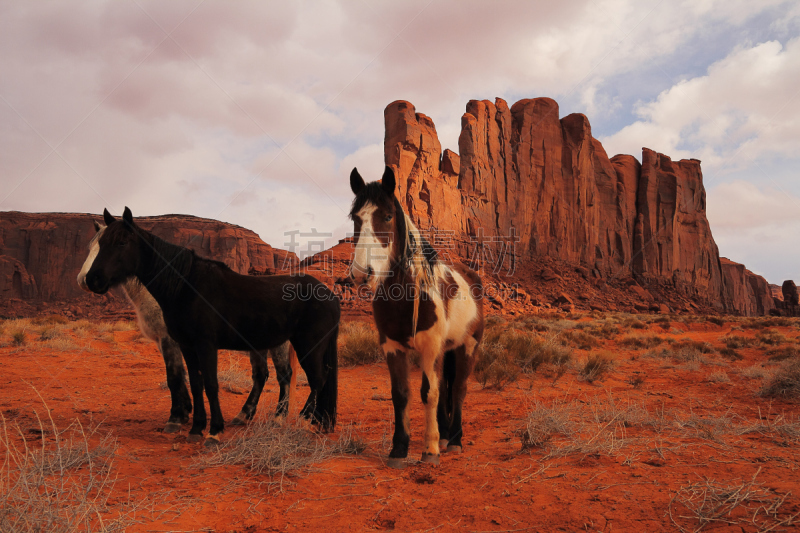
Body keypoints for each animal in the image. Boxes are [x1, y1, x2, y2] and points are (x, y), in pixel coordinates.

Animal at [85, 208, 340, 444]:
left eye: (122, 242)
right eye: (98, 243)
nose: (91, 279)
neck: (187, 286)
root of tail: (330, 295)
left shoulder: (205, 344)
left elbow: (210, 384)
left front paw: (214, 431)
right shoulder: (186, 345)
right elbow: (195, 383)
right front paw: (196, 428)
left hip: (308, 346)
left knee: (317, 379)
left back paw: (303, 419)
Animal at [348, 166, 484, 466]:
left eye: (388, 216)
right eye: (355, 218)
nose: (362, 273)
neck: (406, 294)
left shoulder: (430, 347)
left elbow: (429, 393)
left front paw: (429, 450)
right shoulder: (392, 347)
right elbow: (401, 394)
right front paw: (399, 449)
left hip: (468, 347)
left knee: (458, 389)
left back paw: (454, 441)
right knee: (446, 386)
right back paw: (445, 436)